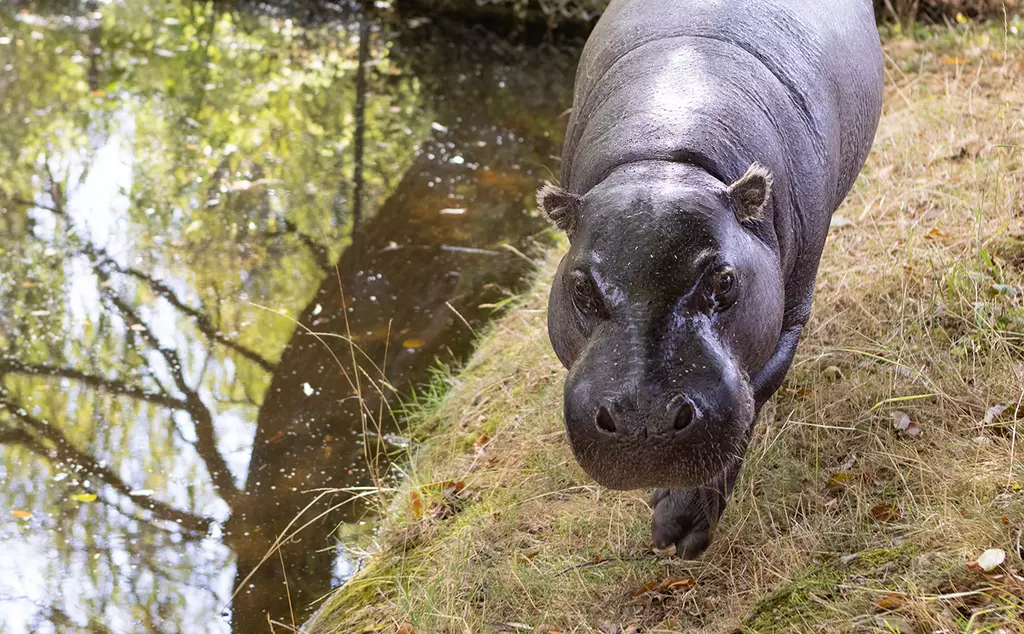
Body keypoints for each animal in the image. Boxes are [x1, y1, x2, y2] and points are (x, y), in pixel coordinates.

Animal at [538, 0, 883, 558]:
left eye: (723, 280)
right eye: (581, 288)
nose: (644, 420)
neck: (665, 161)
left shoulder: (789, 312)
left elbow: (755, 394)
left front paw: (679, 526)